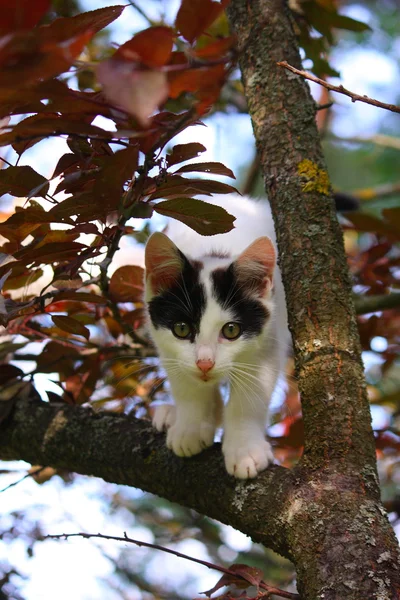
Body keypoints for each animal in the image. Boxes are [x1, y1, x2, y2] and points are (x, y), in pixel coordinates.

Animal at [144, 195, 288, 480]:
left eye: (231, 330)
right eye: (181, 329)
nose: (205, 363)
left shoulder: (267, 341)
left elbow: (251, 395)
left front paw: (245, 449)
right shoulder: (166, 345)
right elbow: (186, 384)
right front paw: (190, 426)